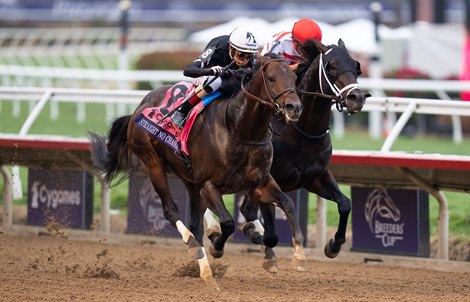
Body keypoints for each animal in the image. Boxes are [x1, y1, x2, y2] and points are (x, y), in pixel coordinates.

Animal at [89, 54, 302, 290]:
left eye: (294, 78)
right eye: (271, 78)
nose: (294, 107)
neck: (241, 130)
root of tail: (141, 104)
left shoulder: (259, 183)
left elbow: (284, 210)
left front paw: (293, 255)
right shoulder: (209, 185)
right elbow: (228, 223)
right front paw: (217, 246)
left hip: (188, 178)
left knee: (195, 223)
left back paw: (202, 268)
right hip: (153, 162)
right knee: (171, 211)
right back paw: (196, 251)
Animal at [235, 39, 368, 272]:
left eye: (356, 65)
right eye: (331, 67)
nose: (356, 98)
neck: (301, 131)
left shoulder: (315, 177)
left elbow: (345, 203)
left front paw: (333, 245)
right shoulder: (267, 179)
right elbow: (266, 221)